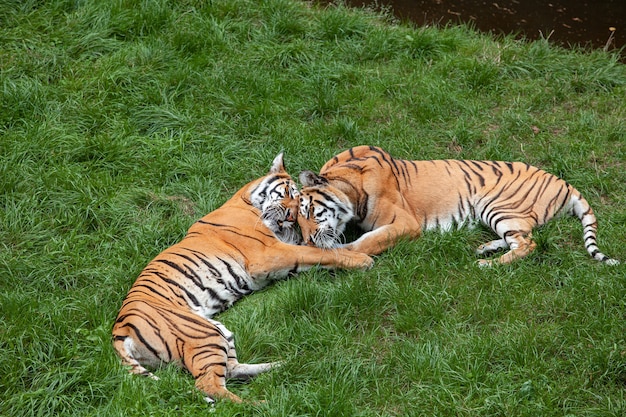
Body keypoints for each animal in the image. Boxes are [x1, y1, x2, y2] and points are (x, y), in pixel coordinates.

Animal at [111, 153, 370, 404]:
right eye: (288, 194)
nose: (290, 216)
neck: (247, 201)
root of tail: (120, 329)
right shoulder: (268, 255)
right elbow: (317, 253)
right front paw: (361, 259)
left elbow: (317, 250)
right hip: (202, 334)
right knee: (210, 385)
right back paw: (260, 405)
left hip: (218, 331)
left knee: (231, 369)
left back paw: (281, 364)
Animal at [294, 145, 616, 264]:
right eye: (296, 221)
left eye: (310, 211)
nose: (307, 241)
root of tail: (565, 182)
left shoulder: (404, 223)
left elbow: (371, 239)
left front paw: (346, 250)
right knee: (520, 238)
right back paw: (484, 248)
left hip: (497, 205)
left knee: (528, 244)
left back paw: (487, 263)